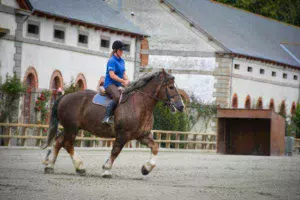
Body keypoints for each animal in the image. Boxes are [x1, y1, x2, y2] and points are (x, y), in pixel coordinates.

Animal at [41, 69, 184, 177]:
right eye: (171, 87)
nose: (181, 106)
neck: (140, 104)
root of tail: (65, 96)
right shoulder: (123, 135)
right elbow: (115, 151)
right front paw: (106, 169)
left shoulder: (142, 135)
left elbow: (155, 147)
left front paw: (146, 168)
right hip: (72, 128)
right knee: (67, 144)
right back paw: (80, 167)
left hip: (70, 127)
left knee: (59, 142)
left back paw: (50, 166)